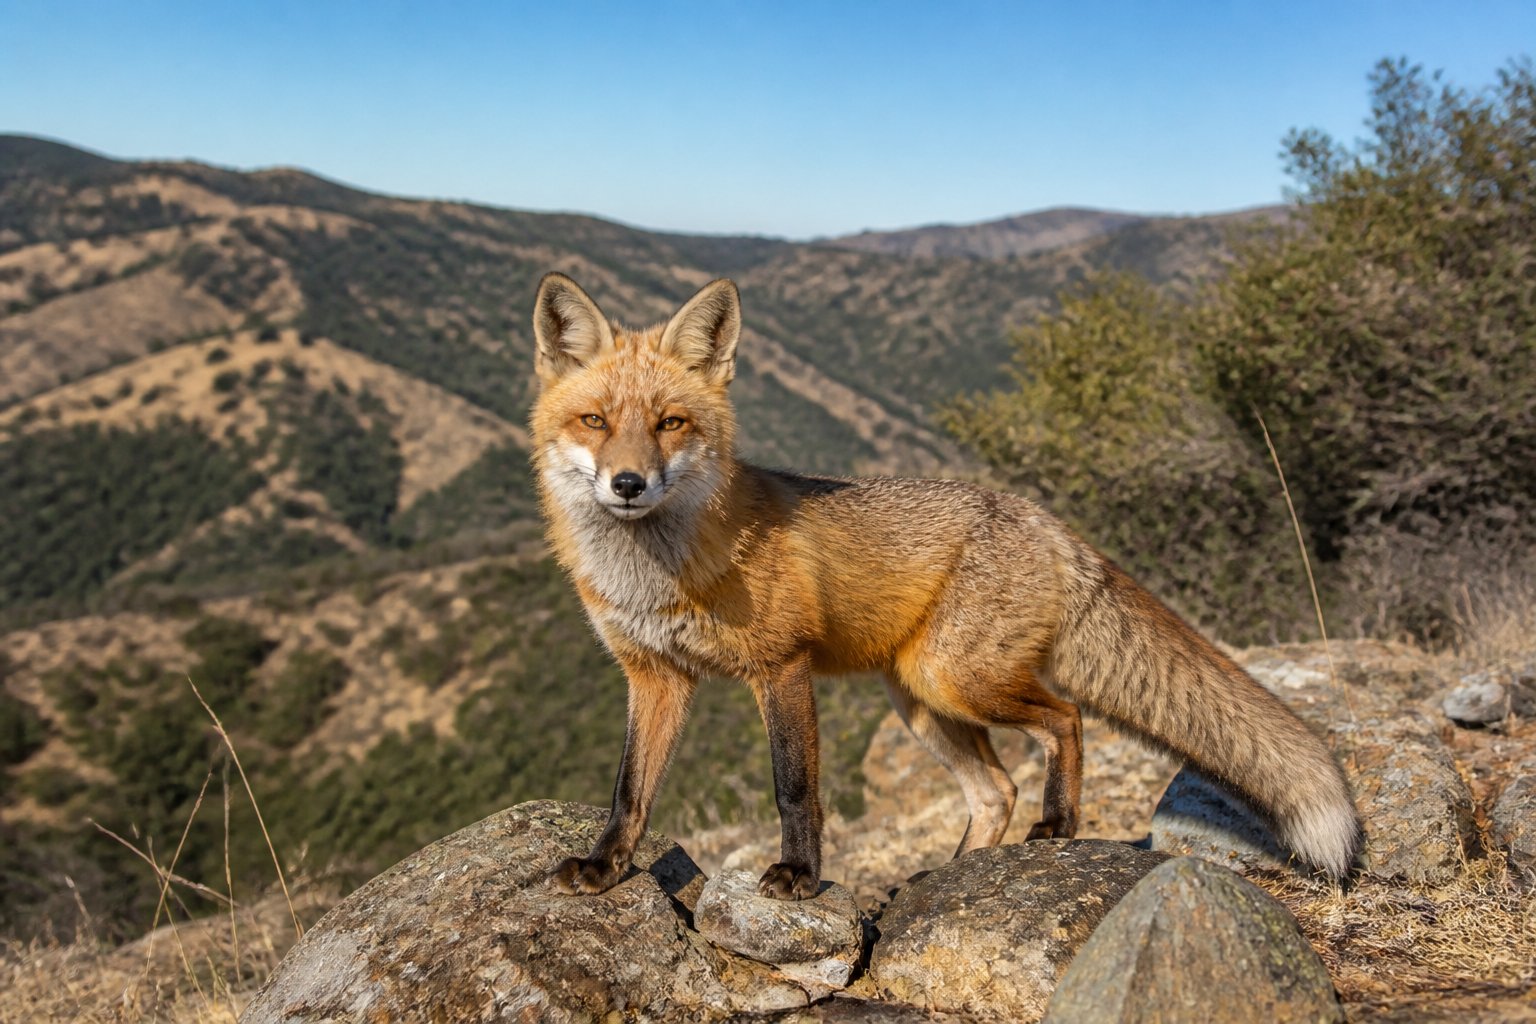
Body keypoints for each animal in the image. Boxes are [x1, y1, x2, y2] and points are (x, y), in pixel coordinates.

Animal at [530, 272, 1362, 901]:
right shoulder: (654, 675)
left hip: (956, 680)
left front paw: (799, 873)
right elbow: (630, 790)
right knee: (994, 790)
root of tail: (1045, 520)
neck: (658, 575)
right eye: (595, 421)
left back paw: (1057, 826)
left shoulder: (783, 667)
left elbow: (794, 789)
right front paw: (605, 866)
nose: (628, 484)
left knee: (1063, 721)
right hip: (920, 702)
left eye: (670, 423)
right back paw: (949, 874)